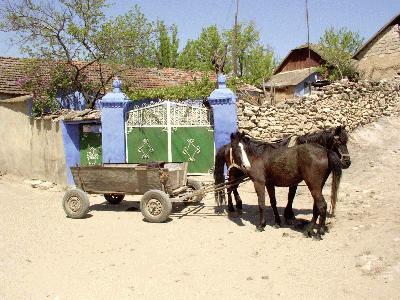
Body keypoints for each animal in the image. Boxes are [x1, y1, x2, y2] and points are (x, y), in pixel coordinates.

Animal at [216, 126, 350, 218]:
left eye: (346, 141)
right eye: (338, 142)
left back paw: (238, 205)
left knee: (233, 187)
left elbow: (291, 195)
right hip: (234, 172)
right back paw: (231, 207)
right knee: (229, 187)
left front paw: (288, 213)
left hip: (240, 174)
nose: (347, 162)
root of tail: (227, 146)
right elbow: (291, 195)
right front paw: (288, 214)